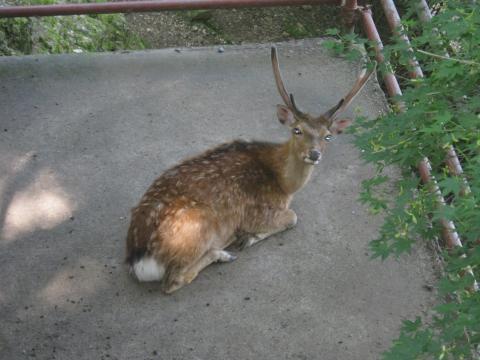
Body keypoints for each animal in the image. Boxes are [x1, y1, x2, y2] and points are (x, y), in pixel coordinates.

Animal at [124, 46, 376, 294]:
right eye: (297, 130)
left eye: (328, 136)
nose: (314, 154)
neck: (284, 184)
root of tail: (139, 258)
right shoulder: (258, 211)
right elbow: (292, 217)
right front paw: (248, 236)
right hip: (197, 230)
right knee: (172, 282)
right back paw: (224, 252)